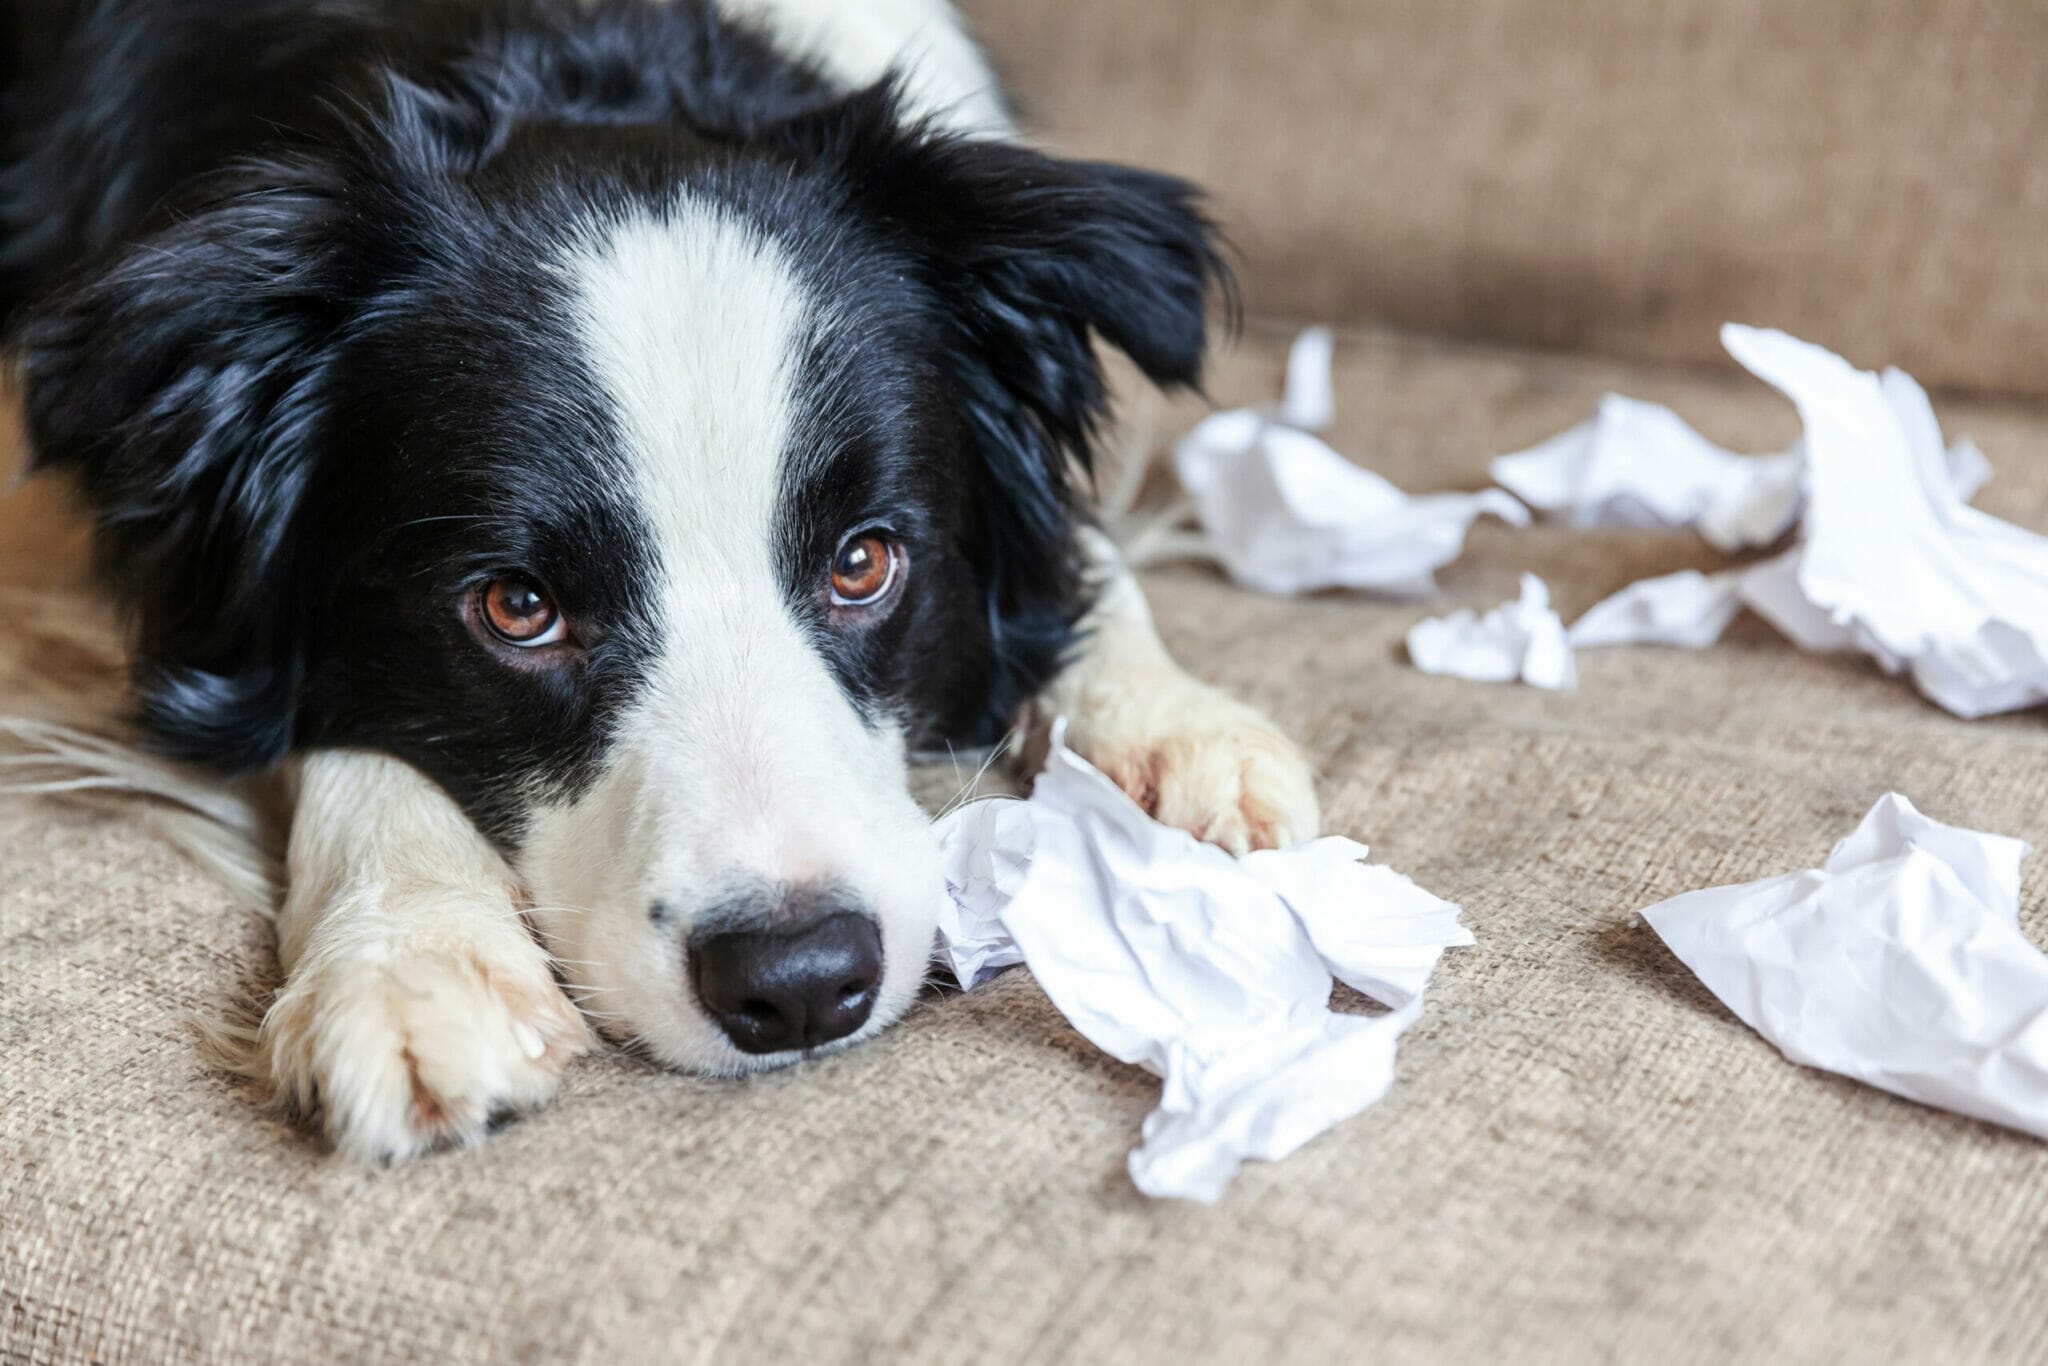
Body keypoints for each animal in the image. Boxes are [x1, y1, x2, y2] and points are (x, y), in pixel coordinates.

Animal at [4, 0, 1310, 1163]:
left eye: (863, 561)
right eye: (517, 607)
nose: (798, 982)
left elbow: (1078, 556)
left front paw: (1173, 729)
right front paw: (408, 962)